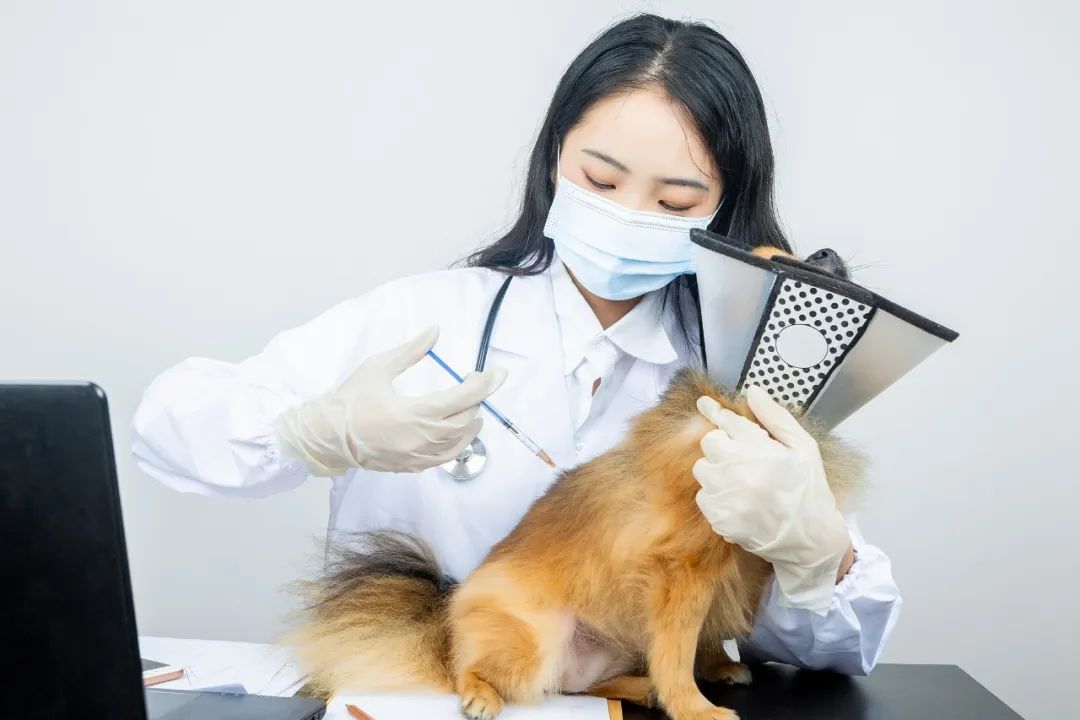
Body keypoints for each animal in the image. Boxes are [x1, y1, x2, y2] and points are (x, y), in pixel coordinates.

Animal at [289, 246, 864, 720]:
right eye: (778, 256)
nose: (828, 251)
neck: (740, 406)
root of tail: (443, 620)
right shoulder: (682, 571)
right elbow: (676, 651)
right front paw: (693, 707)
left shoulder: (734, 568)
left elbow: (700, 637)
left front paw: (713, 669)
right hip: (531, 641)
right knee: (475, 671)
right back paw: (481, 694)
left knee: (585, 686)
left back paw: (640, 688)